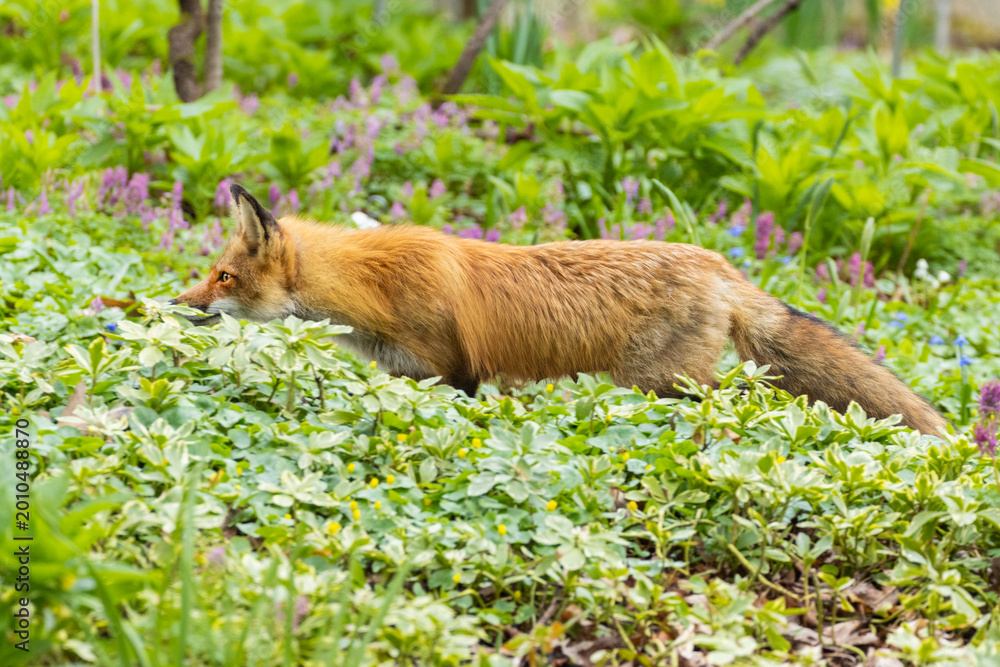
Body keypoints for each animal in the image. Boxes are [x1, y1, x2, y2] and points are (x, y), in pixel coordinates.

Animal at [171, 184, 948, 436]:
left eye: (221, 275)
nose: (177, 303)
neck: (374, 289)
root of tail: (720, 263)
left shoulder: (453, 374)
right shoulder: (409, 378)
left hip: (666, 384)